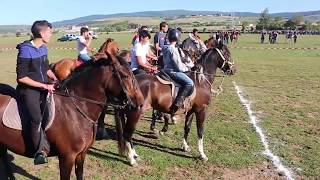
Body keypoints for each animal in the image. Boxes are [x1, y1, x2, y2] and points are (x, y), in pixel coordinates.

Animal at [0, 40, 144, 179]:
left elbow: (79, 173)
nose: (141, 103)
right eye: (125, 76)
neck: (76, 108)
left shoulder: (81, 153)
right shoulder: (66, 157)